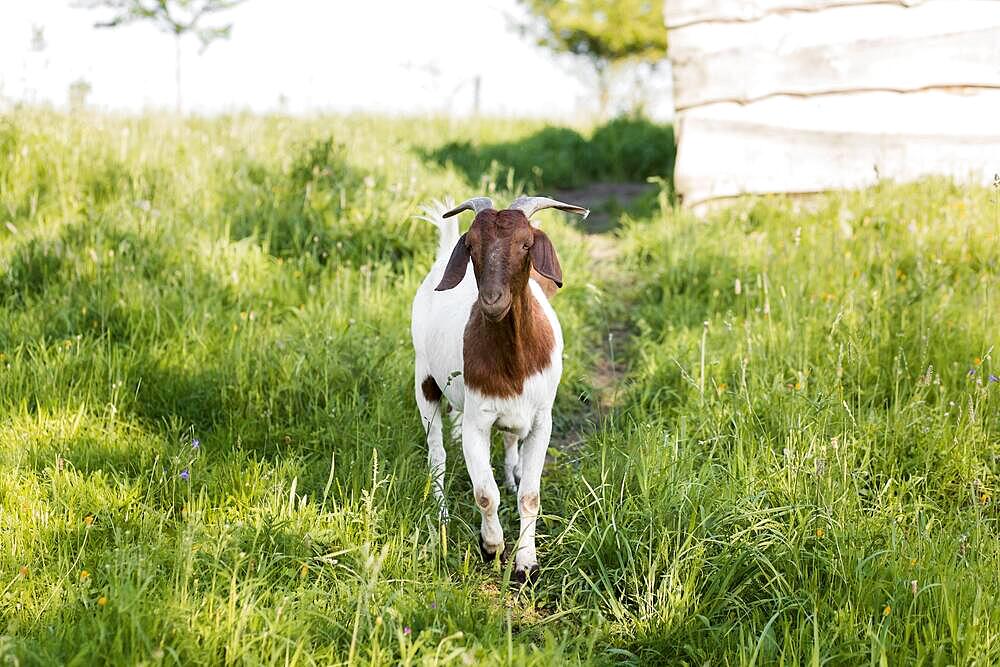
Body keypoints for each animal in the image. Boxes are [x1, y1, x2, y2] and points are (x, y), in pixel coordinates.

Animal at [412, 194, 588, 584]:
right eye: (472, 246)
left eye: (526, 244)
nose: (492, 300)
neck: (515, 360)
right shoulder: (478, 422)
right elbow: (484, 494)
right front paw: (492, 547)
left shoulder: (541, 419)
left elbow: (530, 496)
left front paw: (527, 563)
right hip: (424, 379)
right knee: (437, 454)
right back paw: (442, 514)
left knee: (506, 439)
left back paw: (510, 475)